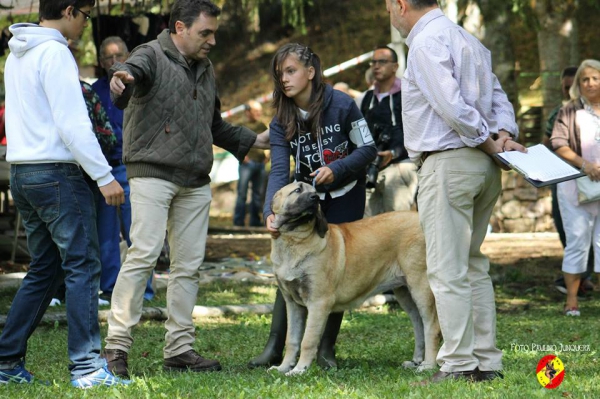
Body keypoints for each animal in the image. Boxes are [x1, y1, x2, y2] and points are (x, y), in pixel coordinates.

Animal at [270, 183, 438, 376]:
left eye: (314, 192)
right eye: (297, 190)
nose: (315, 198)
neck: (295, 238)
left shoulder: (318, 302)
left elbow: (308, 340)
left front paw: (299, 369)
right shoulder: (293, 304)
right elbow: (291, 340)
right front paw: (283, 367)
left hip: (420, 286)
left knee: (432, 326)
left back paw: (428, 365)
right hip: (405, 292)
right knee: (419, 325)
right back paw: (416, 361)